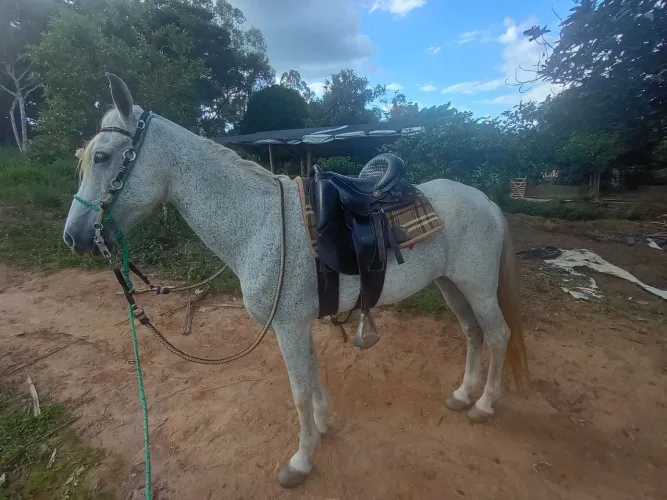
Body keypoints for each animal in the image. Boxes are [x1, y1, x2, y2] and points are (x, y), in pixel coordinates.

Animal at [63, 74, 528, 489]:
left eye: (102, 157)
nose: (74, 236)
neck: (261, 223)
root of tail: (485, 200)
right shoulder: (298, 324)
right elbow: (313, 376)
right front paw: (323, 425)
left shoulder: (287, 326)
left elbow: (299, 391)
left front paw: (301, 461)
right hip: (451, 285)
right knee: (472, 333)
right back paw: (463, 395)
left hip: (478, 287)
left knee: (498, 334)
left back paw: (484, 404)